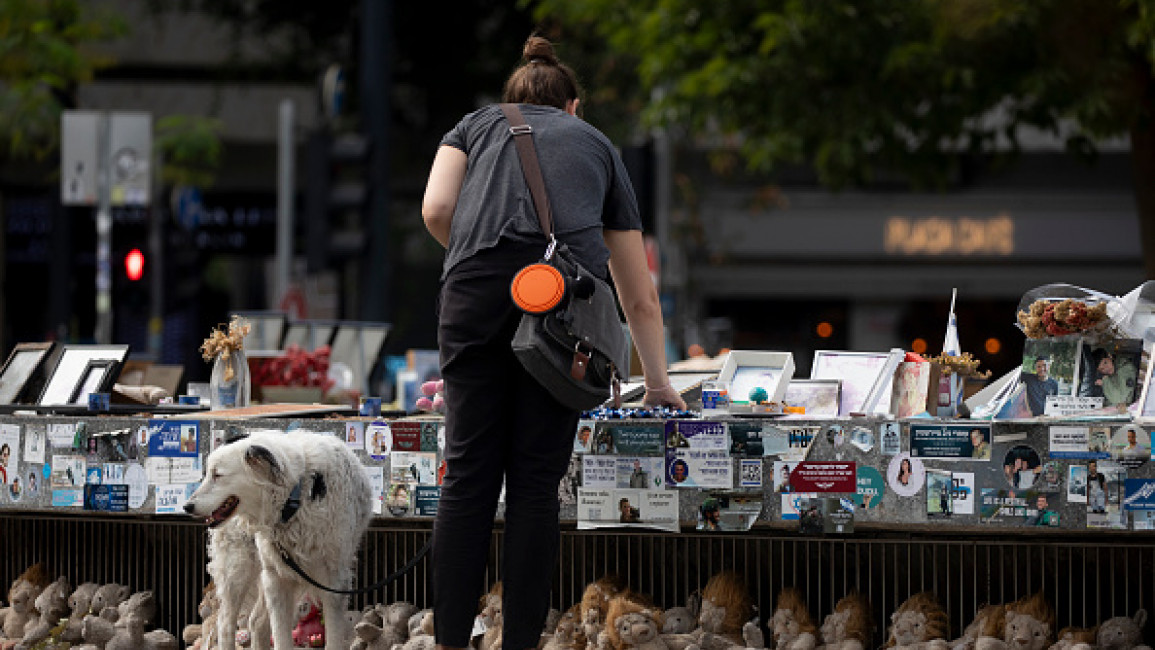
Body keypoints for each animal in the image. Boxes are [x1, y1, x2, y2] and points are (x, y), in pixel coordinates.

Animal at [183, 431, 369, 650]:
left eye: (217, 475)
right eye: (207, 474)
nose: (187, 506)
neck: (295, 495)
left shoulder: (334, 581)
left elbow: (333, 637)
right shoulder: (276, 578)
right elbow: (281, 636)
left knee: (256, 622)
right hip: (237, 570)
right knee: (226, 624)